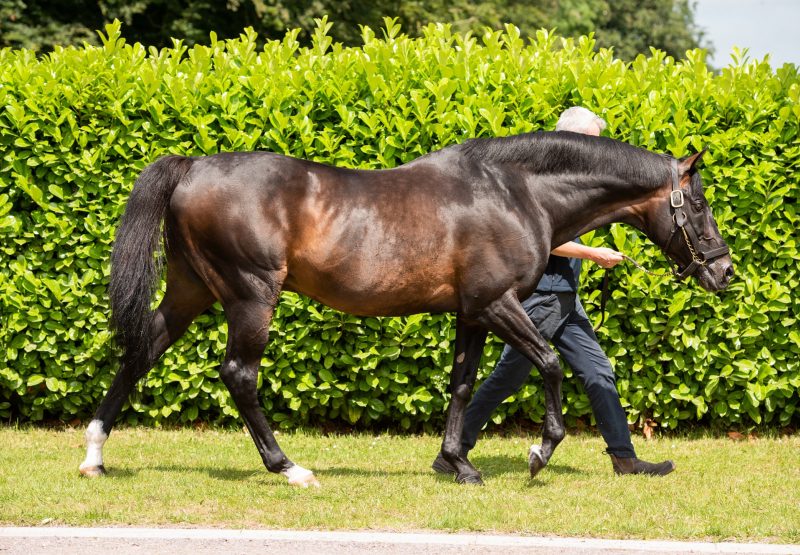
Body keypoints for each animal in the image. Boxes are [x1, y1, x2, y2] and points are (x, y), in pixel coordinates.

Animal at [79, 131, 732, 486]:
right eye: (698, 204)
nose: (724, 271)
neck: (516, 191)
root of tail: (193, 167)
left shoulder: (471, 313)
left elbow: (464, 386)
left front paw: (457, 463)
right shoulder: (497, 303)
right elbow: (547, 363)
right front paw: (538, 452)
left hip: (191, 290)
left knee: (140, 351)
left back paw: (93, 456)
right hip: (249, 294)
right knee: (238, 375)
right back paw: (289, 467)